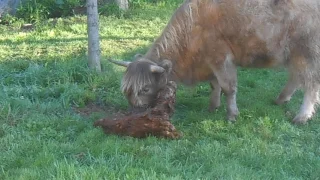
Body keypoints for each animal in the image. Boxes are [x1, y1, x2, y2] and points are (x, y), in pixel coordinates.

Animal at [110, 0, 320, 124]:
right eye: (126, 89)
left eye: (145, 88)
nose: (135, 111)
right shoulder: (209, 63)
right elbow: (214, 85)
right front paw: (213, 106)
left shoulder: (222, 58)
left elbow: (228, 87)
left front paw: (232, 115)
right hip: (294, 55)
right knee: (296, 77)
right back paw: (281, 99)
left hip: (307, 53)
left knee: (311, 84)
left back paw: (302, 116)